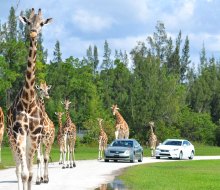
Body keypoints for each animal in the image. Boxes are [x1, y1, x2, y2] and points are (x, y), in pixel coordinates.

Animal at [6, 8, 52, 190]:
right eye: (28, 22)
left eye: (42, 23)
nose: (33, 32)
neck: (28, 100)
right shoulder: (19, 134)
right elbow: (25, 173)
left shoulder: (34, 136)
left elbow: (31, 174)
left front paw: (39, 179)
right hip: (12, 140)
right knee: (19, 170)